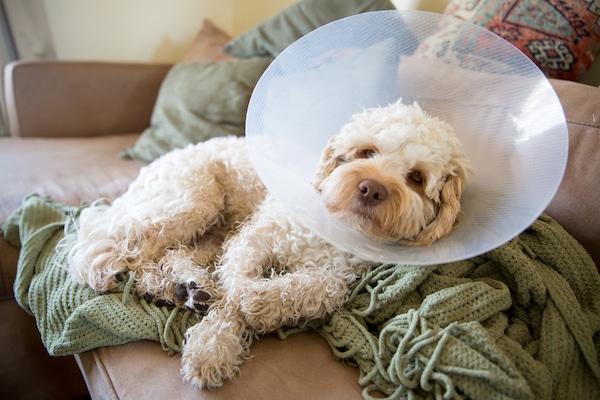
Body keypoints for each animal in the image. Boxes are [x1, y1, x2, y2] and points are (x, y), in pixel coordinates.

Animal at [67, 99, 474, 388]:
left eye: (416, 178)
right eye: (366, 152)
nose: (371, 188)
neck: (330, 228)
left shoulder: (339, 275)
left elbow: (313, 289)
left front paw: (261, 303)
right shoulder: (254, 239)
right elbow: (235, 292)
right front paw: (212, 347)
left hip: (212, 232)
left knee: (169, 255)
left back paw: (183, 287)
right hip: (191, 201)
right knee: (112, 244)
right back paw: (128, 276)